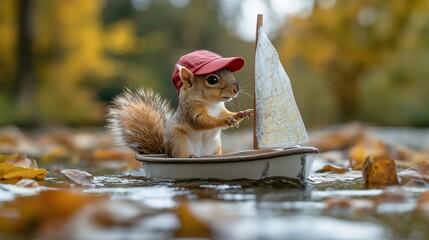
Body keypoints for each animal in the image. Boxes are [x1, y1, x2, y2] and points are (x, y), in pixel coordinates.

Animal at [107, 50, 252, 158]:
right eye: (212, 79)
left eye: (231, 73)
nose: (236, 89)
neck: (212, 105)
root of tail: (167, 153)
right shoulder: (191, 111)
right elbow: (203, 121)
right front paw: (226, 120)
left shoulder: (221, 110)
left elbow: (227, 115)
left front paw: (242, 113)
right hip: (178, 140)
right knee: (179, 156)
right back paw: (190, 157)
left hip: (216, 147)